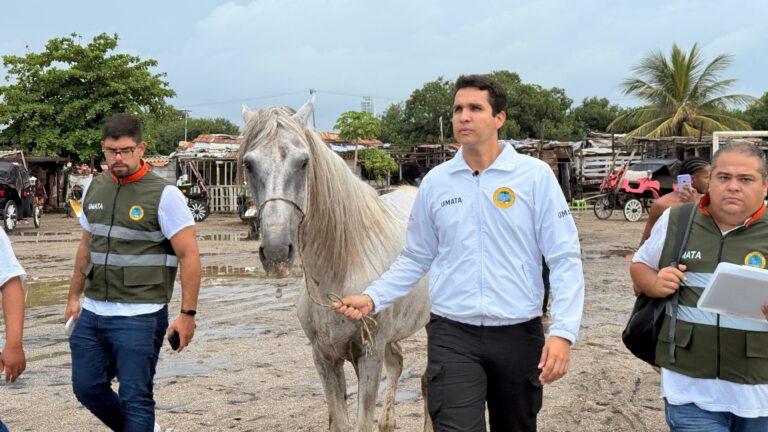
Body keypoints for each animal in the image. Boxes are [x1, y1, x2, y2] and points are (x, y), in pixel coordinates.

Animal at [238, 97, 432, 432]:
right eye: (249, 163)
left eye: (303, 162)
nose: (276, 251)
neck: (341, 271)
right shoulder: (325, 358)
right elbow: (340, 421)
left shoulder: (368, 356)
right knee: (397, 365)